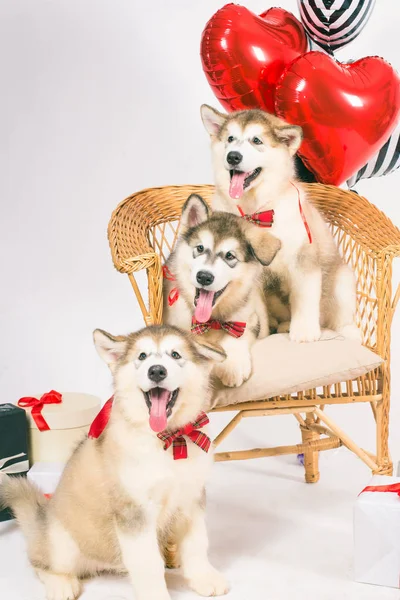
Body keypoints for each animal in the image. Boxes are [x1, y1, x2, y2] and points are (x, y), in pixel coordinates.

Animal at [0, 328, 230, 600]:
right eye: (142, 356)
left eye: (175, 354)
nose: (156, 371)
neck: (170, 440)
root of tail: (41, 519)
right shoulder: (134, 511)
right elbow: (148, 563)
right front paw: (156, 594)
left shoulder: (191, 498)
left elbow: (197, 543)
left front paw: (204, 577)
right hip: (61, 543)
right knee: (39, 562)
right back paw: (61, 584)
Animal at [162, 195, 282, 386]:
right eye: (200, 248)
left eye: (229, 256)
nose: (204, 277)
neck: (211, 321)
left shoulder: (248, 320)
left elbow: (237, 336)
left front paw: (233, 366)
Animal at [200, 105, 360, 344]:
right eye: (230, 138)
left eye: (256, 140)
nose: (233, 156)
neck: (255, 210)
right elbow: (259, 312)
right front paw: (262, 337)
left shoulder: (303, 259)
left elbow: (304, 298)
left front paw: (304, 332)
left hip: (342, 279)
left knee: (339, 317)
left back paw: (348, 332)